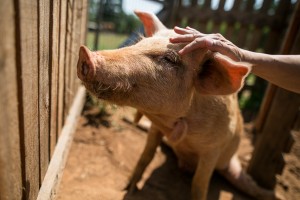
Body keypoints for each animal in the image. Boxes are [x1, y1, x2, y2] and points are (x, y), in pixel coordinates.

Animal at [76, 10, 276, 200]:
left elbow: (199, 184)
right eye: (140, 43)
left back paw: (271, 193)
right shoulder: (156, 129)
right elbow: (145, 156)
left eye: (169, 59)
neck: (176, 127)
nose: (85, 52)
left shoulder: (213, 150)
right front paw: (127, 188)